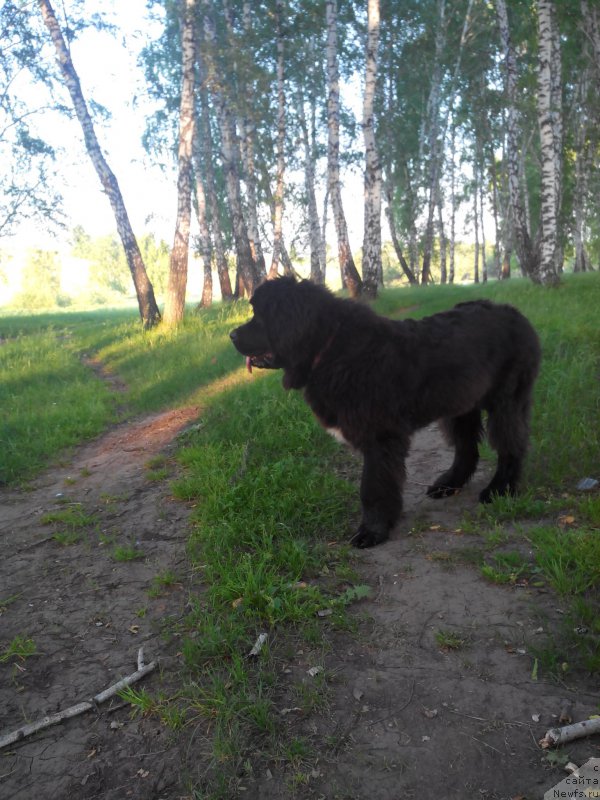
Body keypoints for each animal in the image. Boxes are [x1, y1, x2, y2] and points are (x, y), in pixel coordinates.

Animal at [229, 278, 540, 548]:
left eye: (260, 316)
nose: (231, 334)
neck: (329, 347)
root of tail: (516, 315)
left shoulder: (379, 437)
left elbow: (373, 487)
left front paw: (372, 531)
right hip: (461, 403)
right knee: (467, 448)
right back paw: (448, 485)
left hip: (505, 401)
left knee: (511, 443)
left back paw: (500, 488)